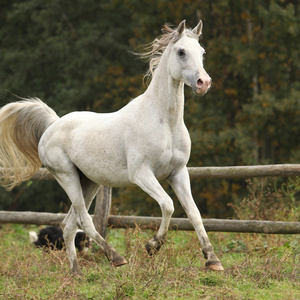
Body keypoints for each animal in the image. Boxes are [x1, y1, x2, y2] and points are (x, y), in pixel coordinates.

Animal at [0, 20, 223, 274]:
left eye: (202, 52)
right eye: (181, 51)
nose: (203, 83)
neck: (164, 122)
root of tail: (53, 124)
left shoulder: (178, 173)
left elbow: (194, 213)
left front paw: (213, 260)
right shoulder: (142, 174)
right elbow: (168, 205)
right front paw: (152, 246)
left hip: (89, 182)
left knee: (69, 225)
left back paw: (76, 272)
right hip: (67, 177)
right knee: (84, 220)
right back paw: (115, 257)